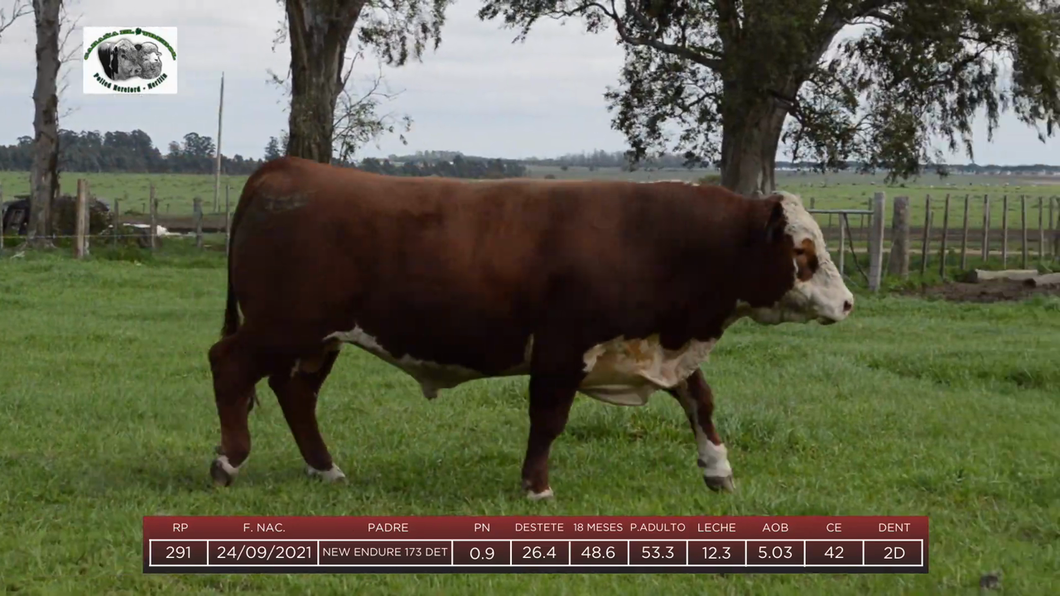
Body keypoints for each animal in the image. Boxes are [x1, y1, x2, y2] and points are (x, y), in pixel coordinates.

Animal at [204, 156, 852, 496]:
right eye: (802, 253)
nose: (846, 303)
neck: (658, 240)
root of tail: (290, 168)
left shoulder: (654, 345)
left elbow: (701, 400)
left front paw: (718, 469)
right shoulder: (563, 349)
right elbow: (548, 419)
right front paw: (536, 486)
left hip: (319, 339)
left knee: (295, 392)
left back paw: (324, 467)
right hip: (284, 324)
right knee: (228, 365)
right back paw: (228, 460)